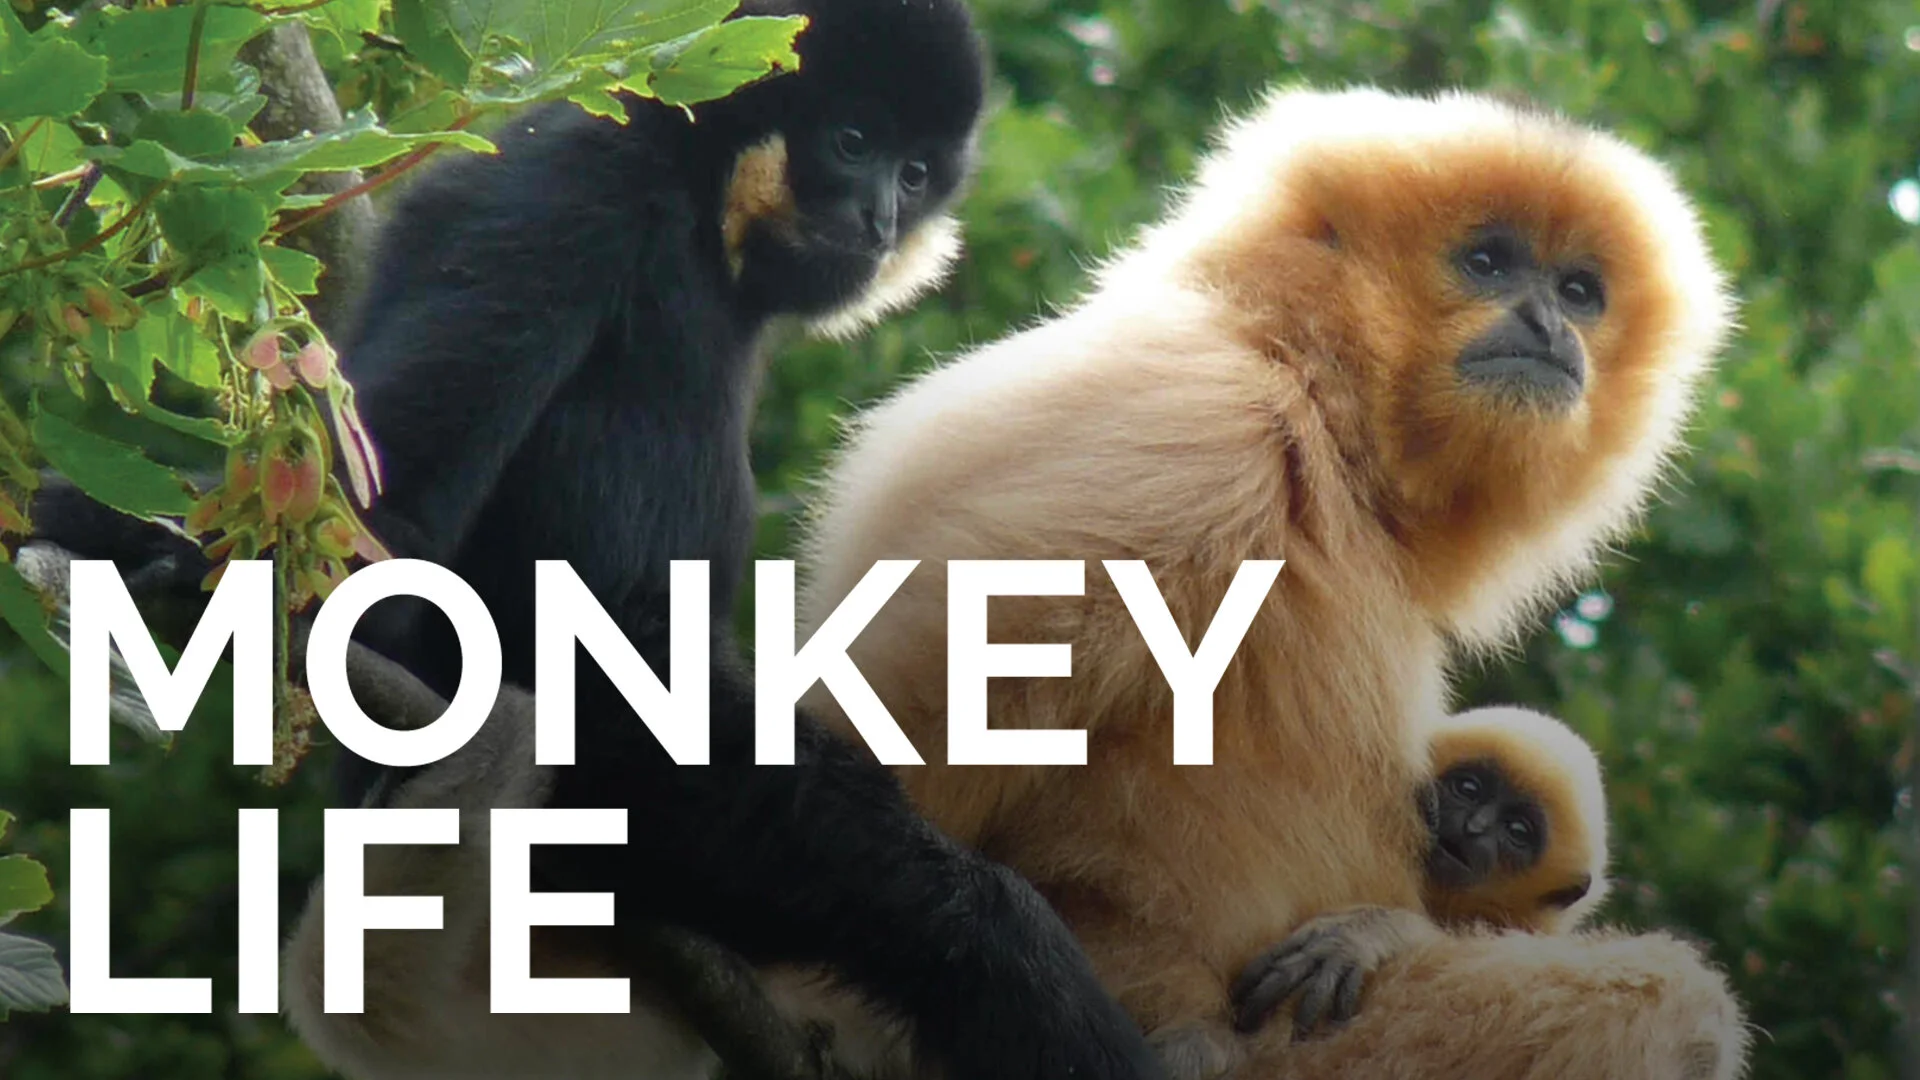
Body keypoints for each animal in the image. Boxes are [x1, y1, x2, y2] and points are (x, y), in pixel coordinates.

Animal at [28, 1, 1168, 1077]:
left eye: (916, 168)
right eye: (853, 140)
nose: (882, 211)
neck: (695, 199)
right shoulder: (569, 190)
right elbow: (372, 545)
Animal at [793, 86, 1749, 1079]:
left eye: (1578, 290)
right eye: (1487, 262)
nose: (1547, 325)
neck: (1311, 394)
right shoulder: (1190, 437)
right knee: (1675, 1002)